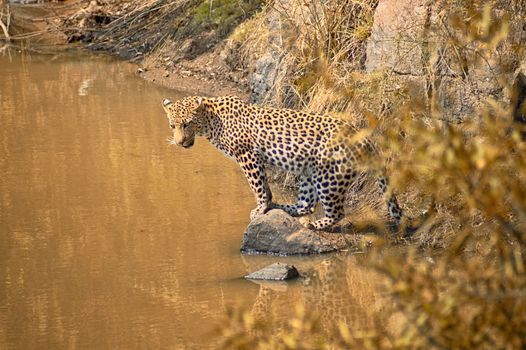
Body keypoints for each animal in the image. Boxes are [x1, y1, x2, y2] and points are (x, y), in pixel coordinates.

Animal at [163, 95, 402, 230]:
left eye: (187, 124)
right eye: (172, 125)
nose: (180, 142)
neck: (211, 121)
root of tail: (364, 136)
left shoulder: (247, 155)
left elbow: (257, 186)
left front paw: (261, 207)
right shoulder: (255, 159)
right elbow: (265, 187)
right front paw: (267, 204)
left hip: (329, 176)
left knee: (335, 211)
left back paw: (315, 224)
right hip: (309, 173)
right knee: (305, 204)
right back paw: (281, 207)